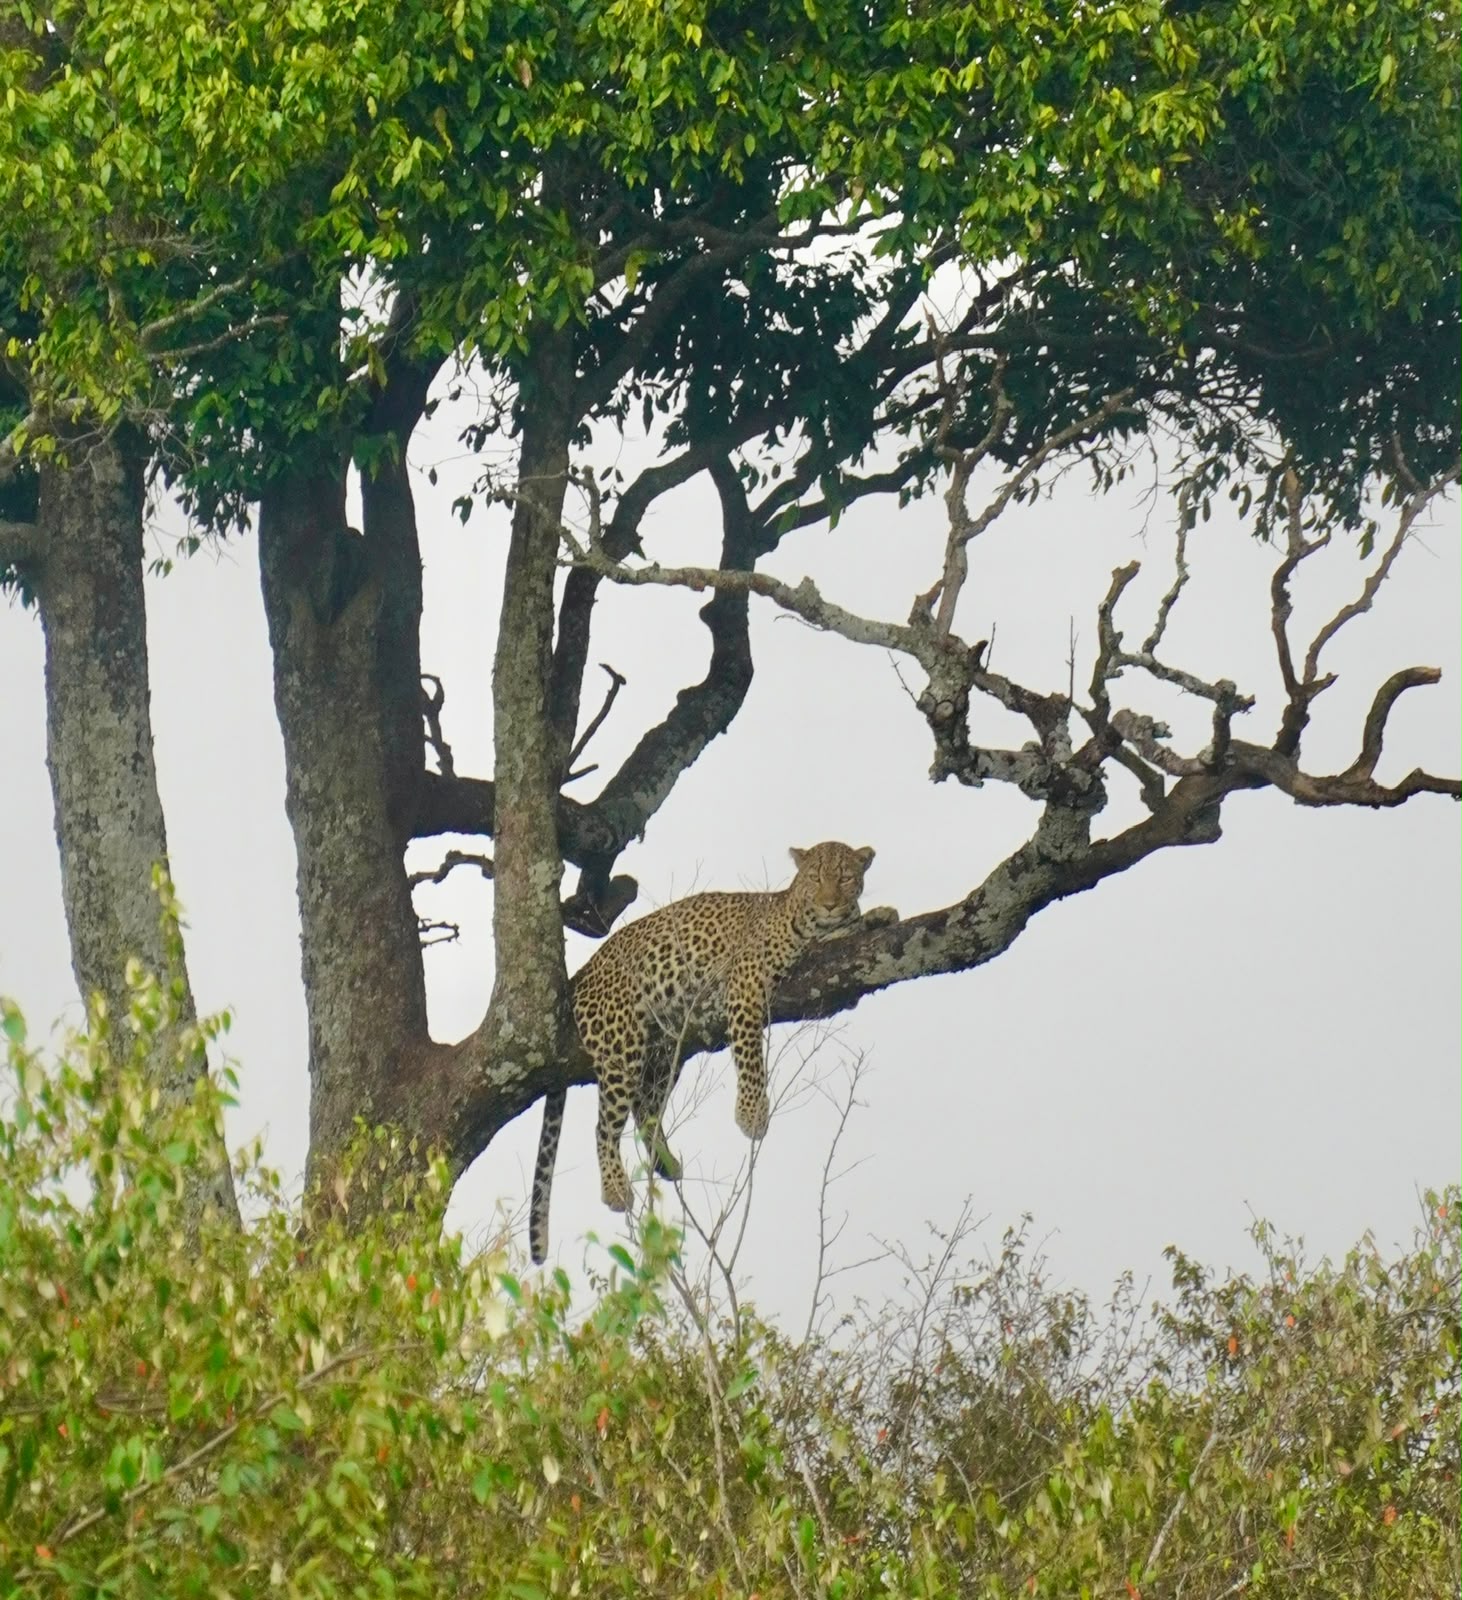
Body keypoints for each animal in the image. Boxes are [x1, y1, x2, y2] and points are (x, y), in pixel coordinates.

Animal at [529, 841, 879, 1264]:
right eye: (815, 878)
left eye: (844, 878)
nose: (829, 904)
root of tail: (581, 973)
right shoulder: (745, 982)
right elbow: (750, 1055)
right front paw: (751, 1114)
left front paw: (878, 916)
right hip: (619, 1044)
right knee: (605, 1126)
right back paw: (616, 1189)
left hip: (666, 1053)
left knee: (645, 1107)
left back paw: (665, 1163)